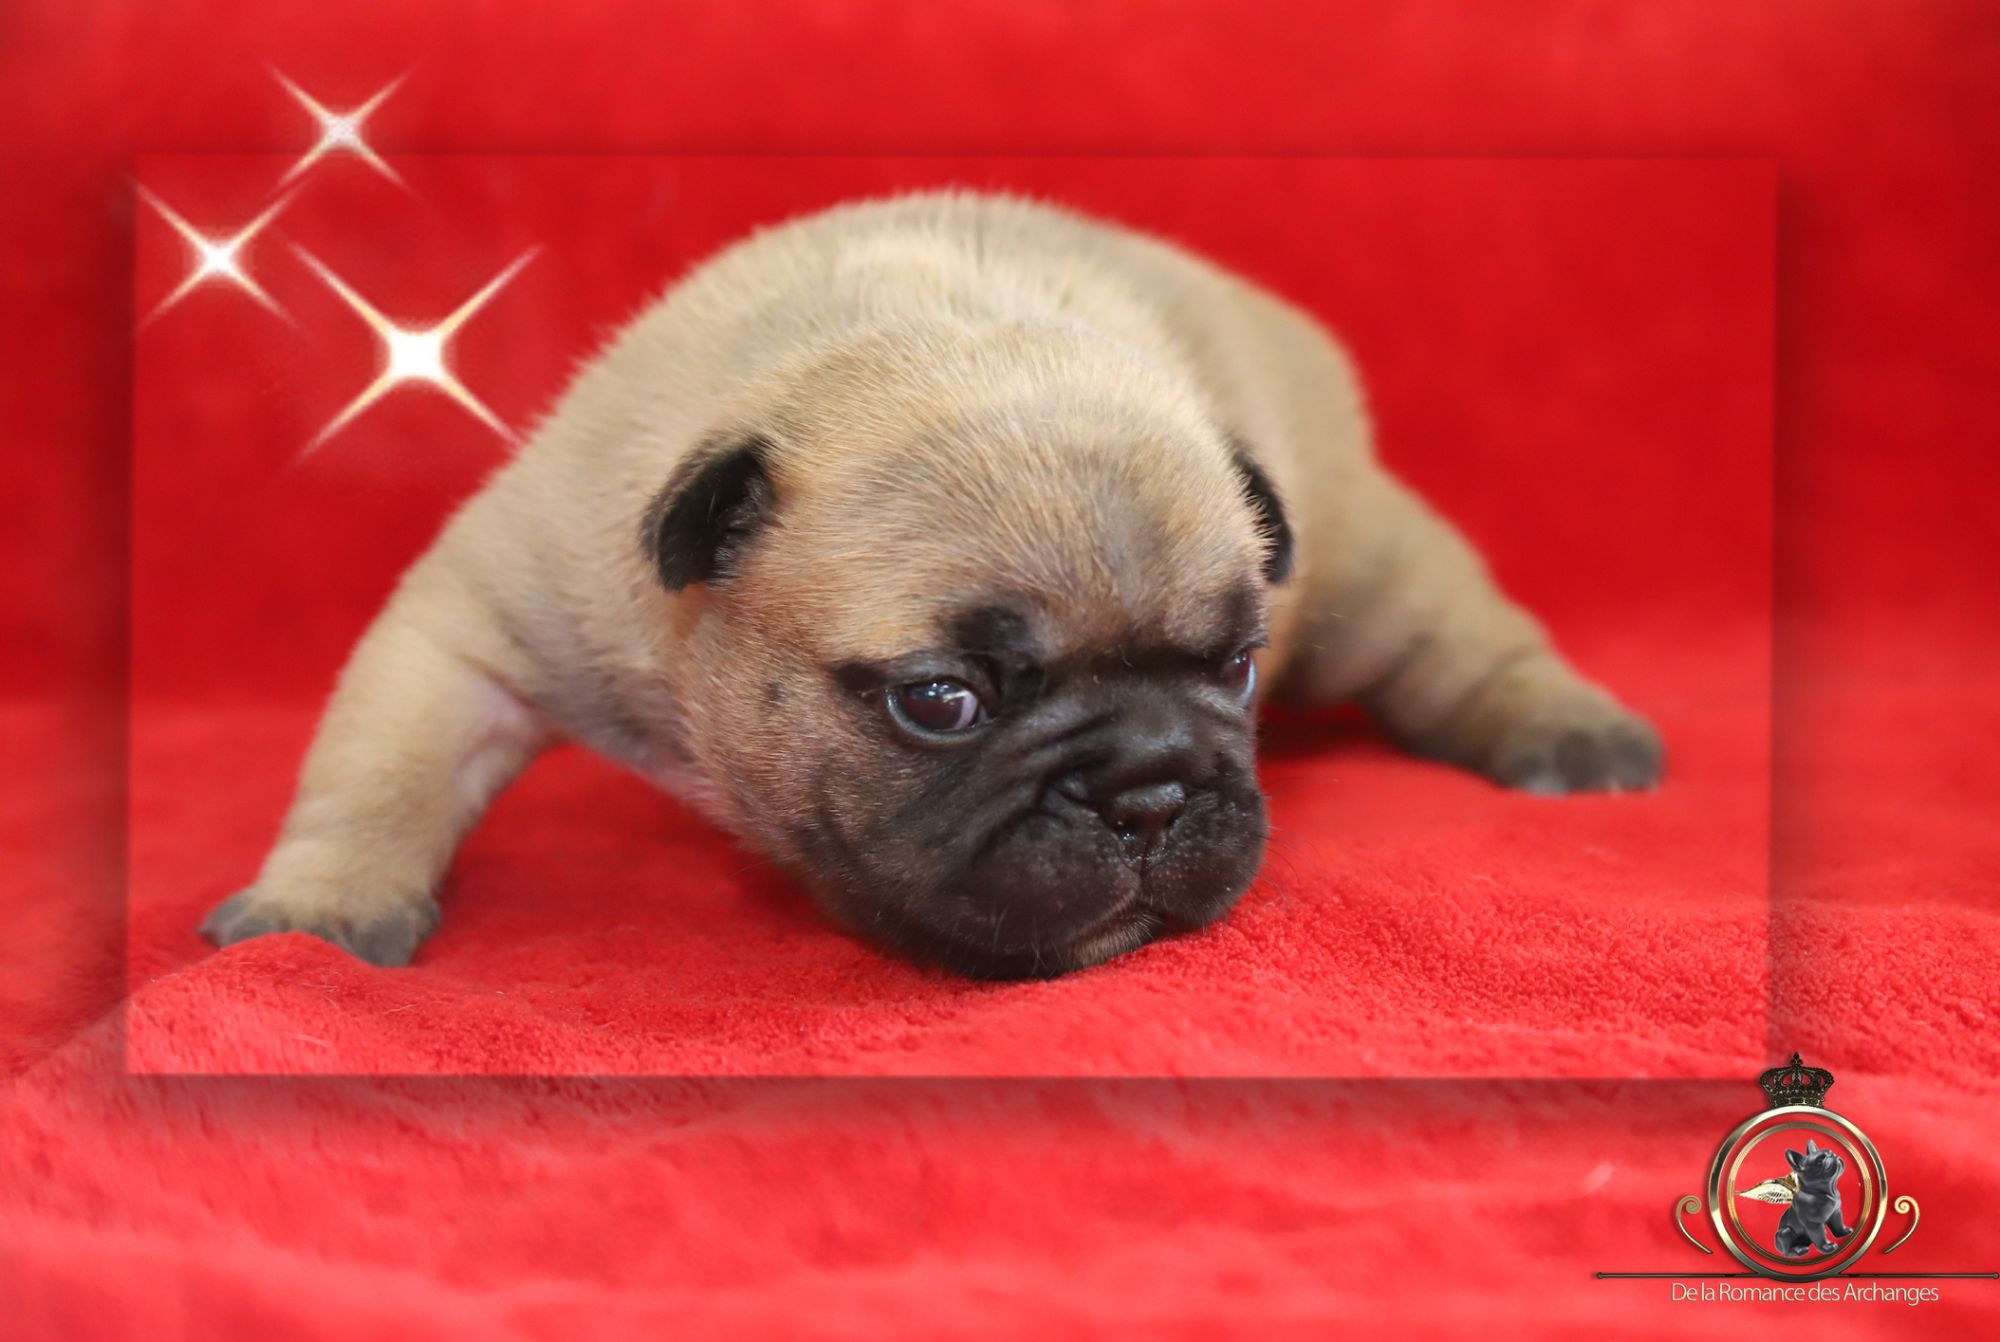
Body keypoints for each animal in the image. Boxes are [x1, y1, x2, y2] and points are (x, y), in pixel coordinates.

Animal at [201, 191, 1663, 979]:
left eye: (1238, 667)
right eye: (941, 702)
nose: (1149, 790)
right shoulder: (485, 623)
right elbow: (382, 769)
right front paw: (317, 912)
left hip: (1365, 573)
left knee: (1458, 640)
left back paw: (1570, 734)